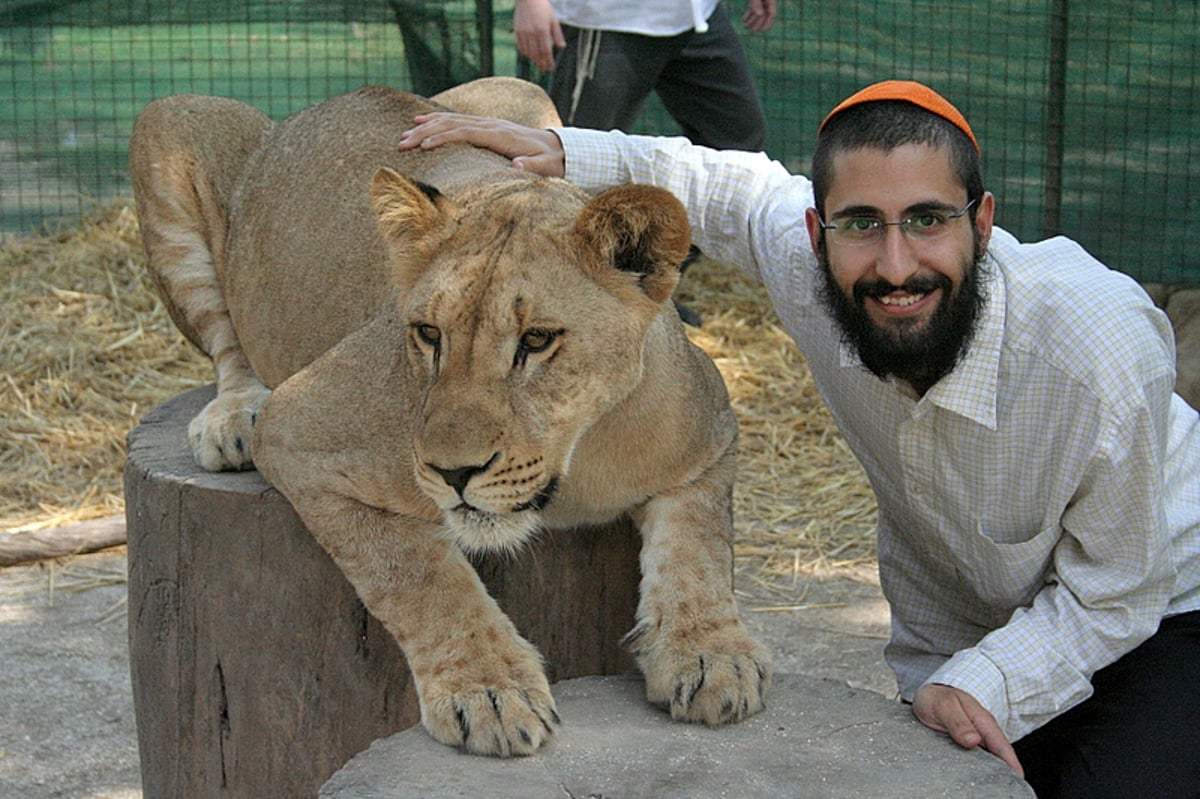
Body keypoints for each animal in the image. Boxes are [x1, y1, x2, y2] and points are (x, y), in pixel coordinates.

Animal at [129, 77, 768, 758]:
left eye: (537, 339)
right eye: (429, 333)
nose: (453, 473)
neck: (578, 456)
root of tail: (313, 107)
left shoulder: (713, 433)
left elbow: (700, 546)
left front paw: (713, 658)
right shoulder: (298, 426)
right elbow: (417, 572)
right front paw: (488, 692)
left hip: (517, 88)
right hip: (169, 121)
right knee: (226, 339)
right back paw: (231, 418)